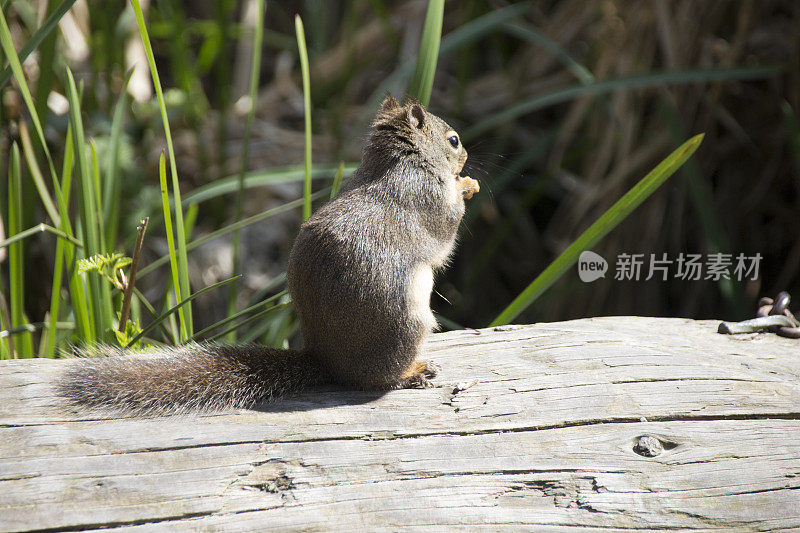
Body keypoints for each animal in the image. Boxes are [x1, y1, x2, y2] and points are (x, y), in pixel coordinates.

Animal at [59, 93, 482, 414]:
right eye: (454, 141)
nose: (464, 159)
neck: (399, 161)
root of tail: (327, 360)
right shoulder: (427, 198)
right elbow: (447, 230)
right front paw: (464, 186)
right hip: (408, 324)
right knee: (376, 380)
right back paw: (414, 372)